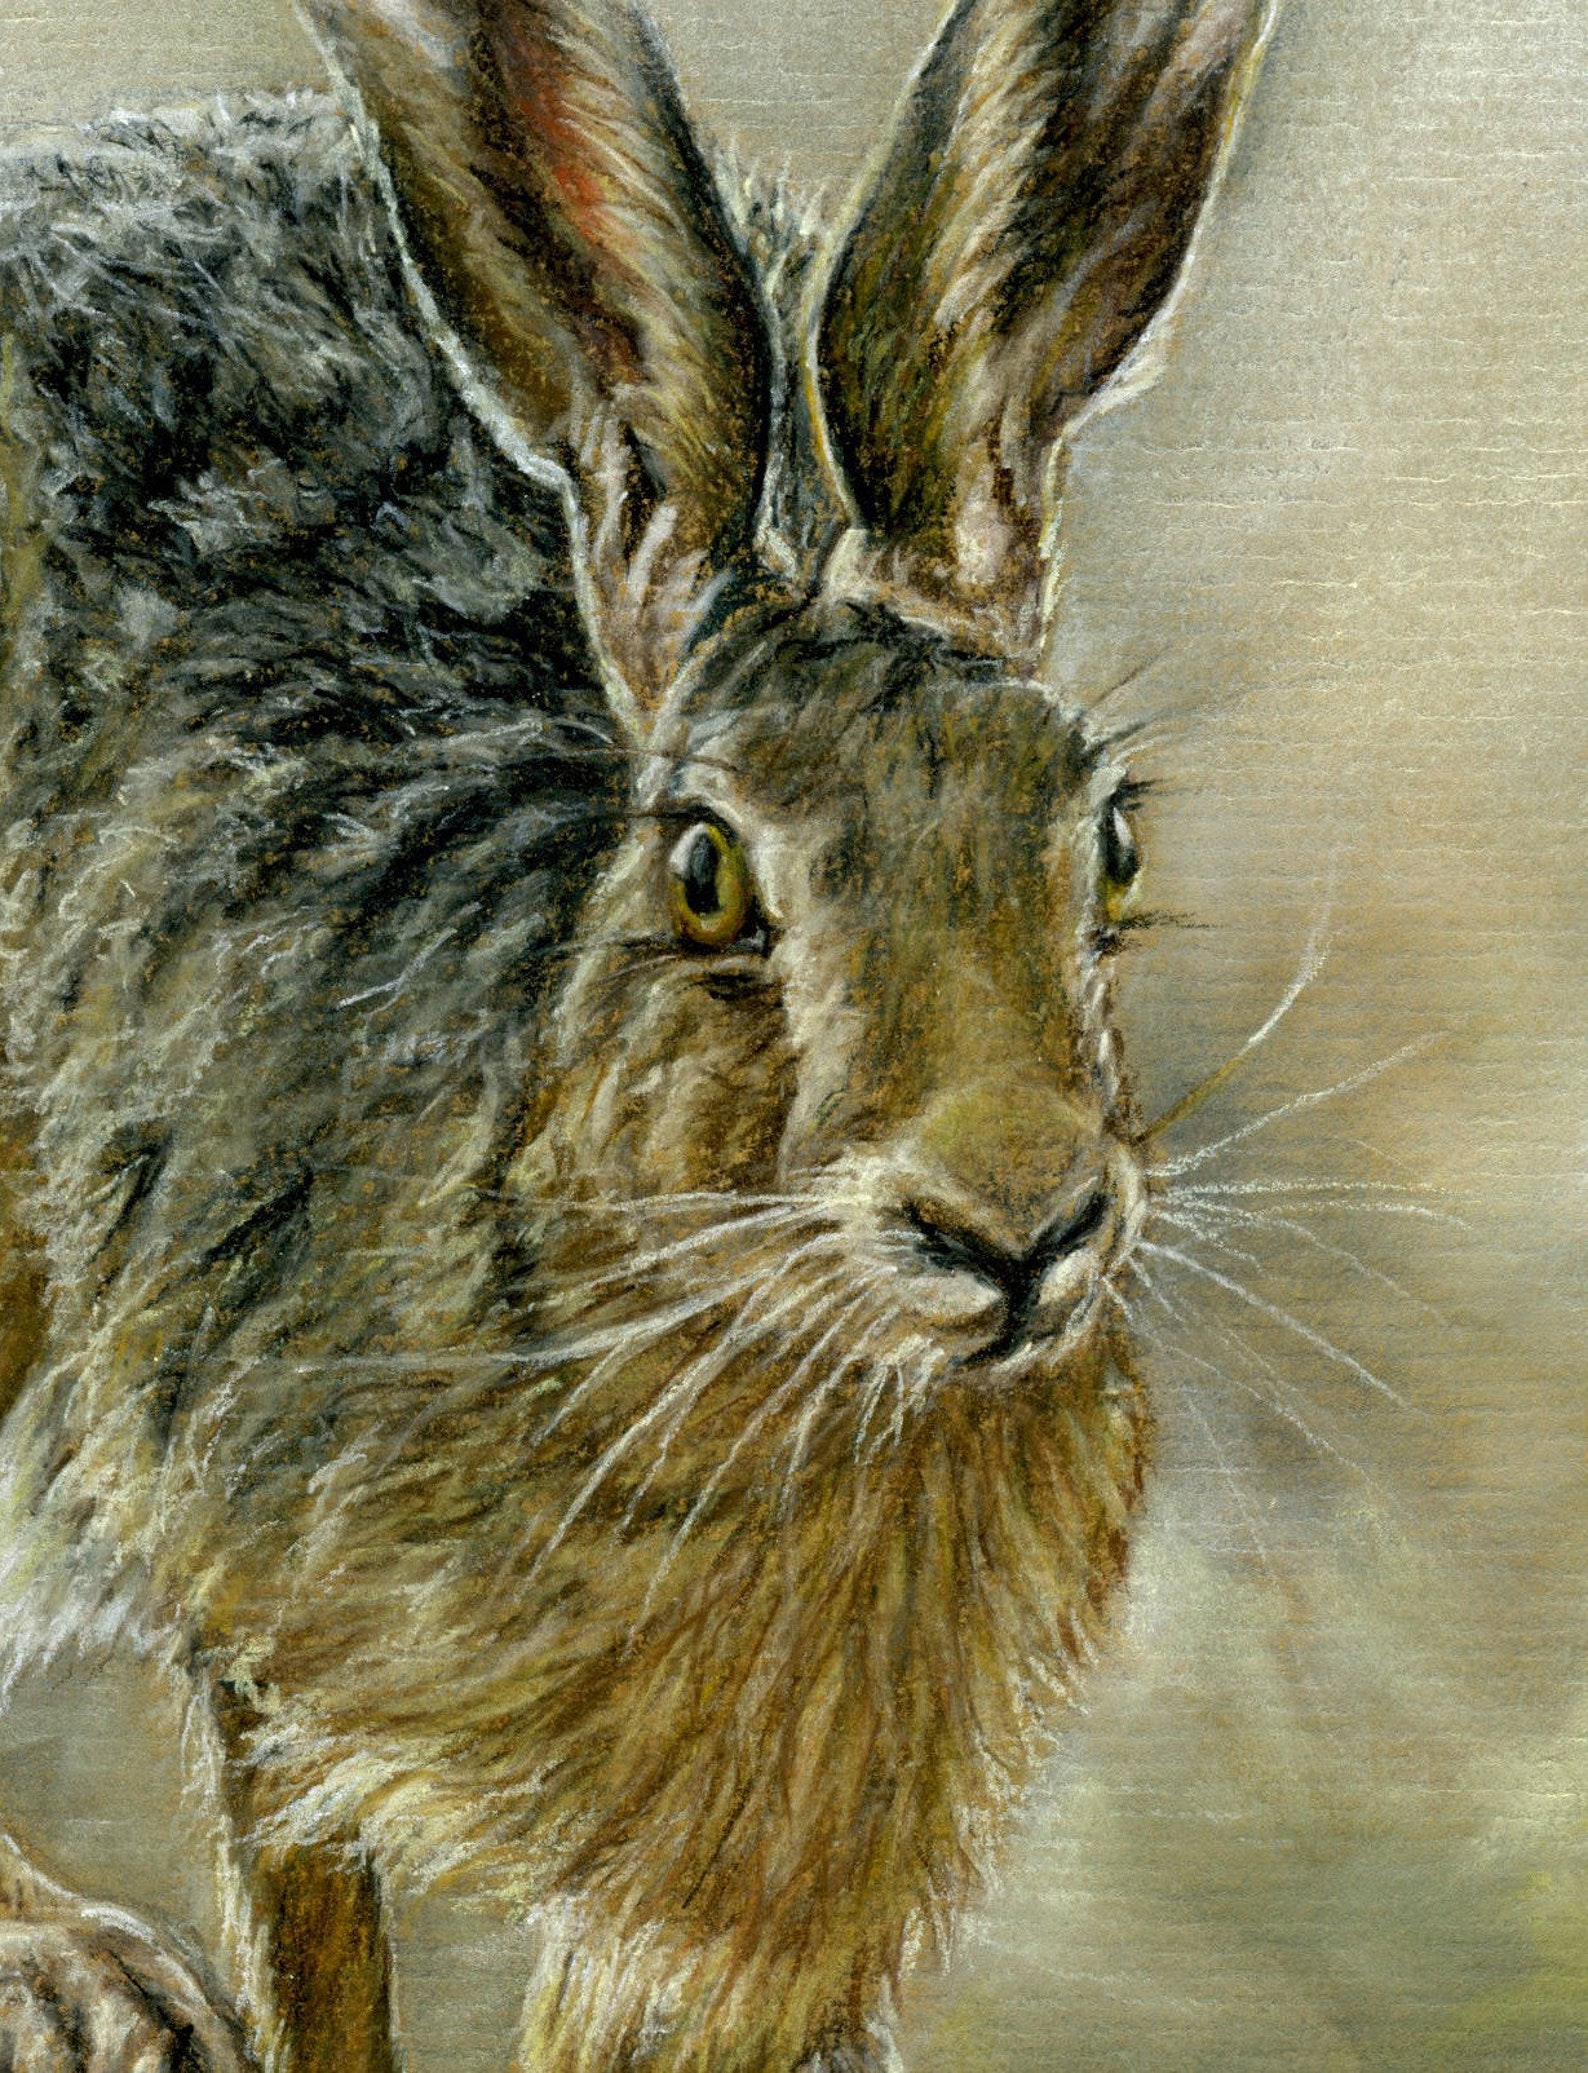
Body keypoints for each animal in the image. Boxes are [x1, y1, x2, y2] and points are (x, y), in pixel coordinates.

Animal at [0, 0, 1278, 2067]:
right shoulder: (250, 1587)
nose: (1016, 1222)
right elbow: (307, 1910)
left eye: (1108, 838)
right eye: (701, 871)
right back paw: (85, 1975)